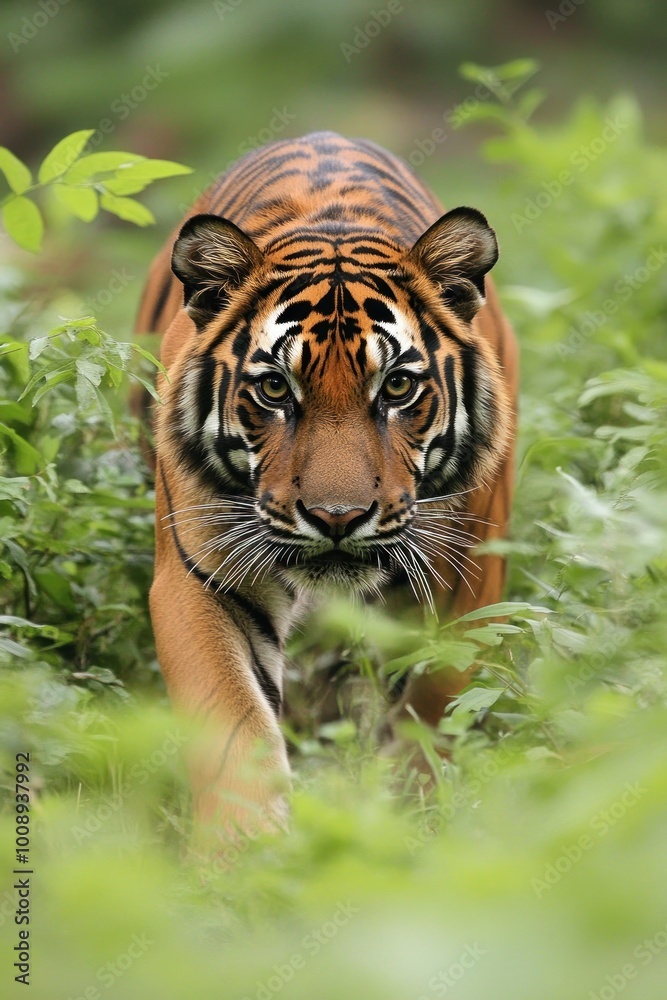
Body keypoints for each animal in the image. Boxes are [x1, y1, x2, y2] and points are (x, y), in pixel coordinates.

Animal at [134, 131, 518, 841]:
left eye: (398, 386)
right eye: (274, 389)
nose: (337, 517)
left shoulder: (470, 581)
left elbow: (435, 703)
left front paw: (416, 811)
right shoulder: (202, 581)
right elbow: (234, 726)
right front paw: (249, 855)